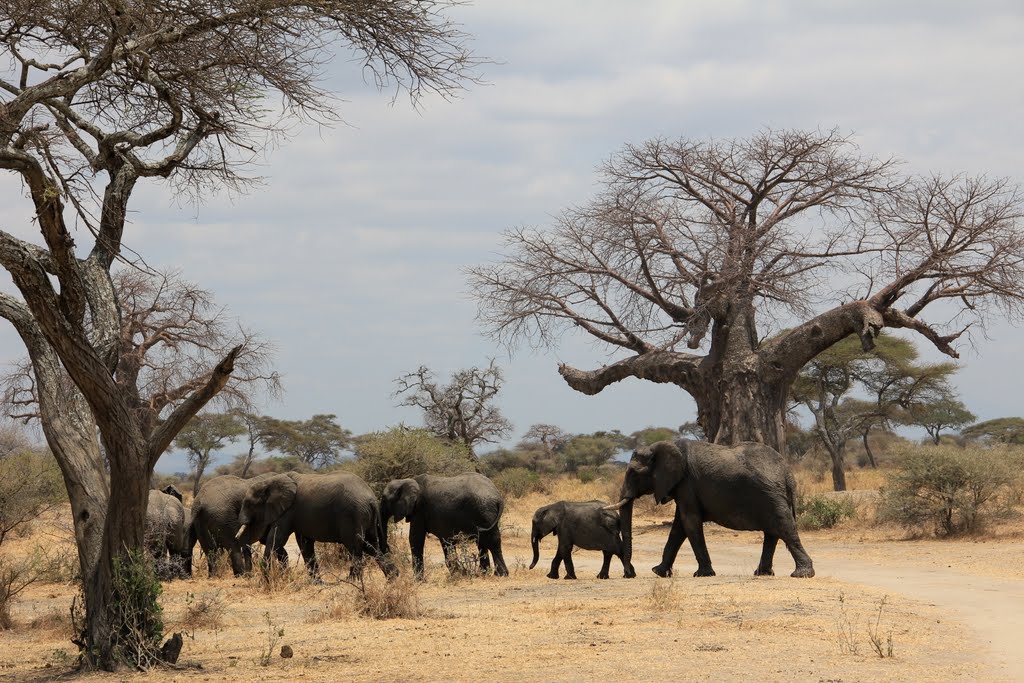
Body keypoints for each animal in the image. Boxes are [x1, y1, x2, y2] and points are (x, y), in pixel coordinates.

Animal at [235, 473, 395, 581]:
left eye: (248, 504)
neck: (269, 481)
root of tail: (371, 498)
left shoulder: (288, 511)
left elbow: (276, 537)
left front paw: (266, 579)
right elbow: (304, 543)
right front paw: (316, 582)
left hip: (353, 514)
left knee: (355, 546)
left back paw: (352, 581)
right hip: (366, 517)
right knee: (372, 545)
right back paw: (393, 577)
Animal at [606, 440, 815, 581]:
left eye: (634, 473)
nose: (629, 574)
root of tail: (787, 473)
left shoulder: (687, 484)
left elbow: (689, 522)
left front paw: (702, 575)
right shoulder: (684, 487)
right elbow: (679, 527)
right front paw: (658, 572)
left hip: (770, 495)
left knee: (783, 527)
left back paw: (801, 574)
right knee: (772, 532)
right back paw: (762, 573)